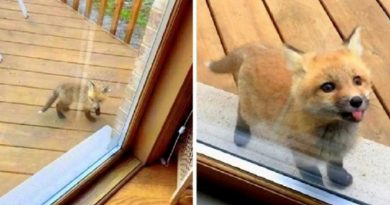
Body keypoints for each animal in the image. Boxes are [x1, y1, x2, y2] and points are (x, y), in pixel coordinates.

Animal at [207, 27, 372, 187]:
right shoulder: (301, 153)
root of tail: (257, 49)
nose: (356, 101)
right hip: (252, 111)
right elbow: (314, 178)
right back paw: (241, 134)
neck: (333, 134)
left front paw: (339, 179)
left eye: (357, 80)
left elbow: (335, 166)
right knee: (241, 111)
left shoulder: (337, 152)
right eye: (328, 87)